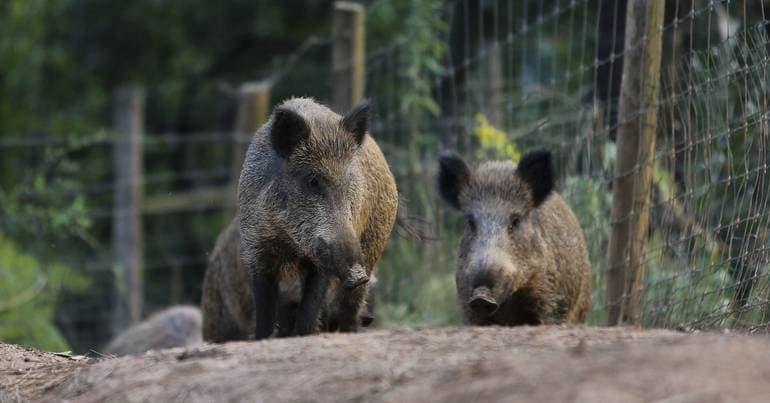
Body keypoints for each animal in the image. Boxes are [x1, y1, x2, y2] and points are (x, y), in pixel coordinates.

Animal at [237, 97, 398, 339]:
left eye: (350, 181)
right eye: (312, 181)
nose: (356, 274)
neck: (289, 239)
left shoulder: (320, 264)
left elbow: (311, 307)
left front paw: (304, 334)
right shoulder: (256, 248)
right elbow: (265, 311)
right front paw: (265, 337)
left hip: (373, 244)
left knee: (351, 306)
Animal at [437, 148, 591, 325]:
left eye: (515, 221)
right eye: (470, 222)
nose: (481, 297)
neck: (509, 305)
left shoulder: (553, 304)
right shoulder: (468, 305)